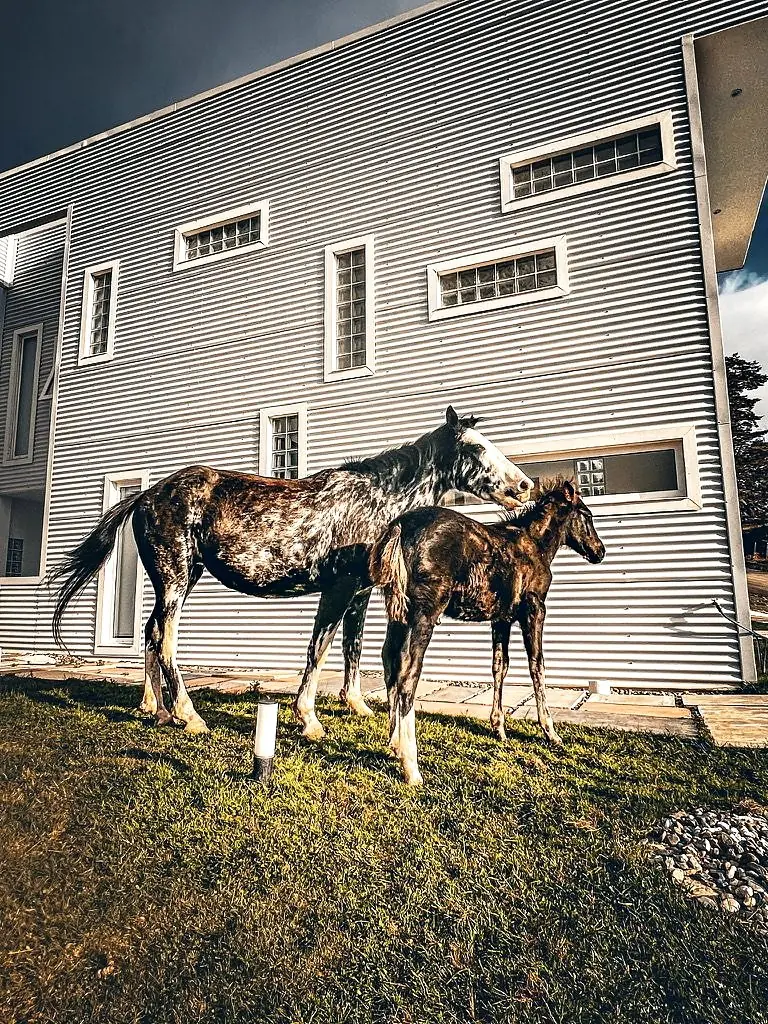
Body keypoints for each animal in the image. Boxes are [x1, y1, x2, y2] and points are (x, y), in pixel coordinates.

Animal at [48, 407, 534, 737]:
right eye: (475, 447)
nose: (524, 485)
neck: (377, 499)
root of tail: (147, 495)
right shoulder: (337, 589)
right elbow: (318, 648)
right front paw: (309, 719)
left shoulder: (359, 594)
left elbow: (351, 649)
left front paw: (356, 706)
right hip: (175, 579)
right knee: (164, 638)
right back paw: (189, 716)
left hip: (180, 579)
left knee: (150, 633)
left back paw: (154, 708)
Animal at [368, 479, 605, 784]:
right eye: (587, 515)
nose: (599, 551)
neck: (536, 545)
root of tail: (400, 526)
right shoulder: (534, 609)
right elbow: (537, 665)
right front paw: (550, 731)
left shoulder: (501, 618)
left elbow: (499, 666)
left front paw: (499, 728)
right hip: (425, 612)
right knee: (408, 674)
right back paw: (411, 766)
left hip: (398, 614)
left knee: (389, 662)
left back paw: (394, 743)